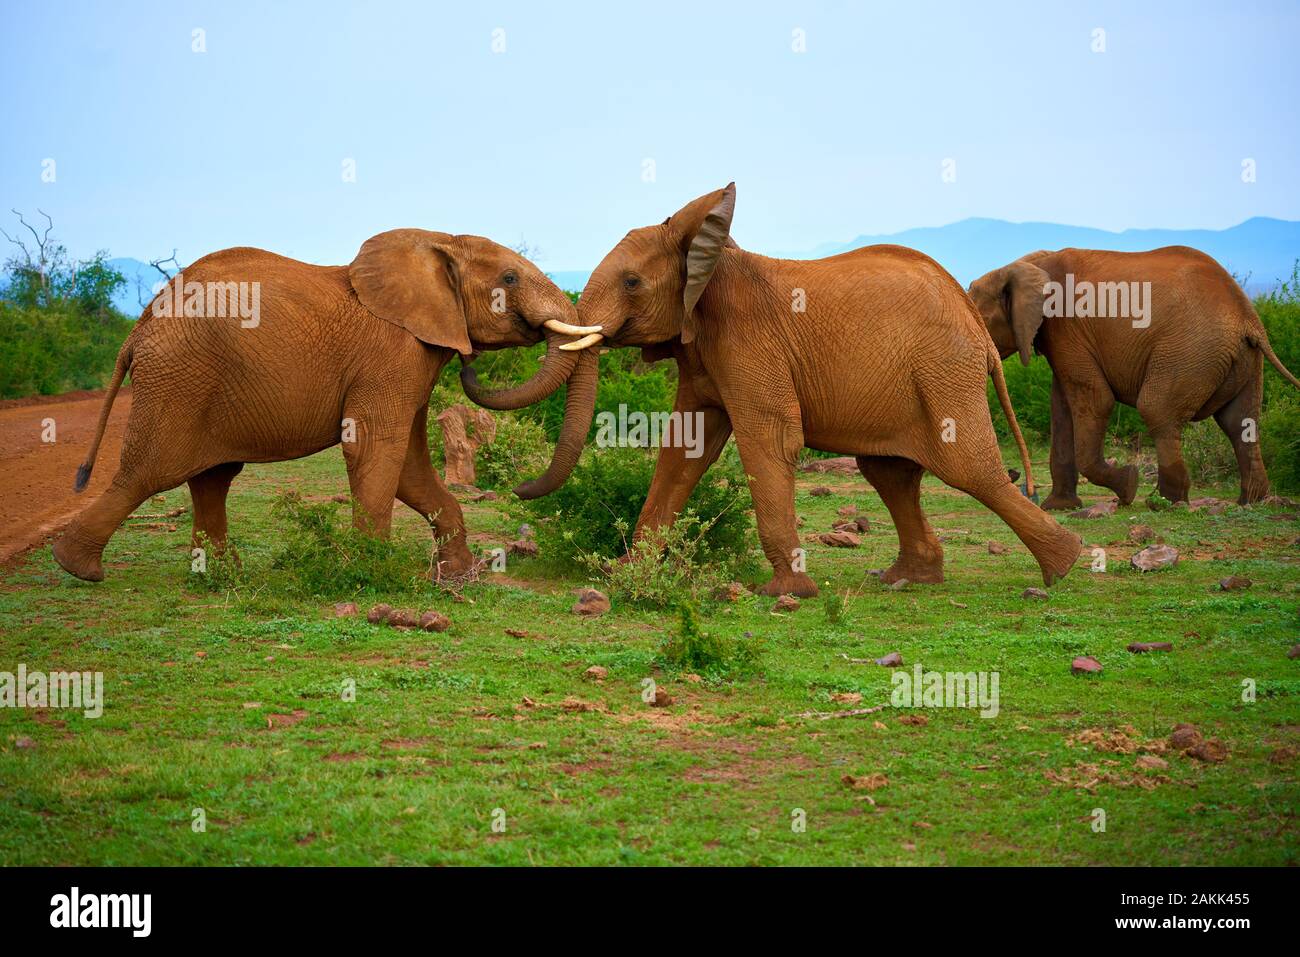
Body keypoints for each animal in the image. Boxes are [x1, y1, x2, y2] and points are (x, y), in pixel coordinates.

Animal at [48, 230, 600, 582]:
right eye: (509, 279)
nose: (519, 490)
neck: (437, 239)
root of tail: (139, 326)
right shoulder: (393, 353)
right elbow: (375, 451)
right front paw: (372, 571)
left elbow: (409, 466)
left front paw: (461, 574)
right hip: (179, 380)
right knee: (148, 472)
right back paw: (79, 568)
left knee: (212, 479)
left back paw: (219, 576)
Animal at [972, 250, 1294, 512]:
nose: (1017, 478)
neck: (1026, 264)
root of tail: (1247, 317)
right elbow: (1062, 409)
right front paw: (1058, 507)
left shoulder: (1067, 327)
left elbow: (1096, 399)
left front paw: (1128, 485)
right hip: (1242, 359)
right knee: (1239, 421)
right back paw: (1251, 501)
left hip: (1191, 350)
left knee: (1156, 408)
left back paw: (1165, 503)